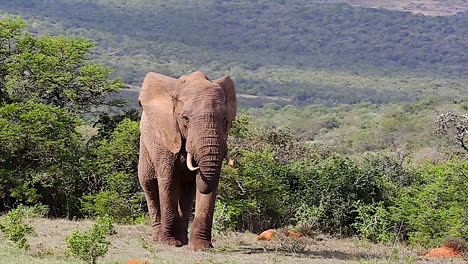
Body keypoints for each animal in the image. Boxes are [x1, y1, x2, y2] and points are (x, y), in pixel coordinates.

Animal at [137, 70, 236, 250]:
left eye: (226, 120)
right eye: (185, 119)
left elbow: (208, 183)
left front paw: (201, 247)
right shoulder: (166, 138)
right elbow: (168, 180)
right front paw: (169, 243)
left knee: (187, 189)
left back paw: (182, 240)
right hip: (146, 146)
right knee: (149, 184)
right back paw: (159, 237)